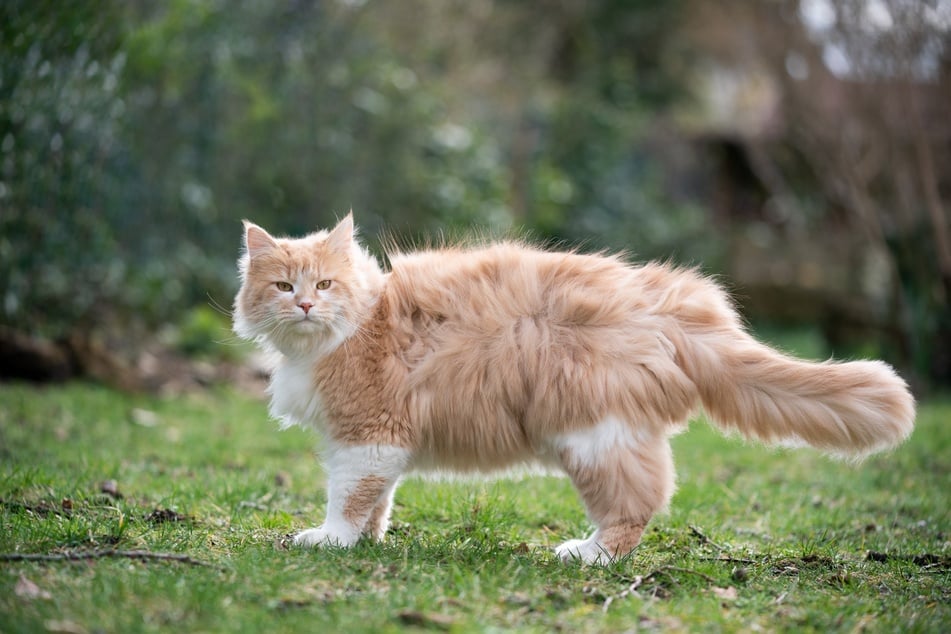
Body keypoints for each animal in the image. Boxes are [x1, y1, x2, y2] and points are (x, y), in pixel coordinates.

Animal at [231, 214, 916, 564]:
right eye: (283, 287)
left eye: (323, 284)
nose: (305, 306)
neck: (357, 324)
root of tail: (666, 302)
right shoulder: (381, 443)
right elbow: (379, 499)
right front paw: (369, 541)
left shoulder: (366, 436)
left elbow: (347, 498)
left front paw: (331, 540)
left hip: (593, 437)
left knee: (637, 507)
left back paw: (588, 554)